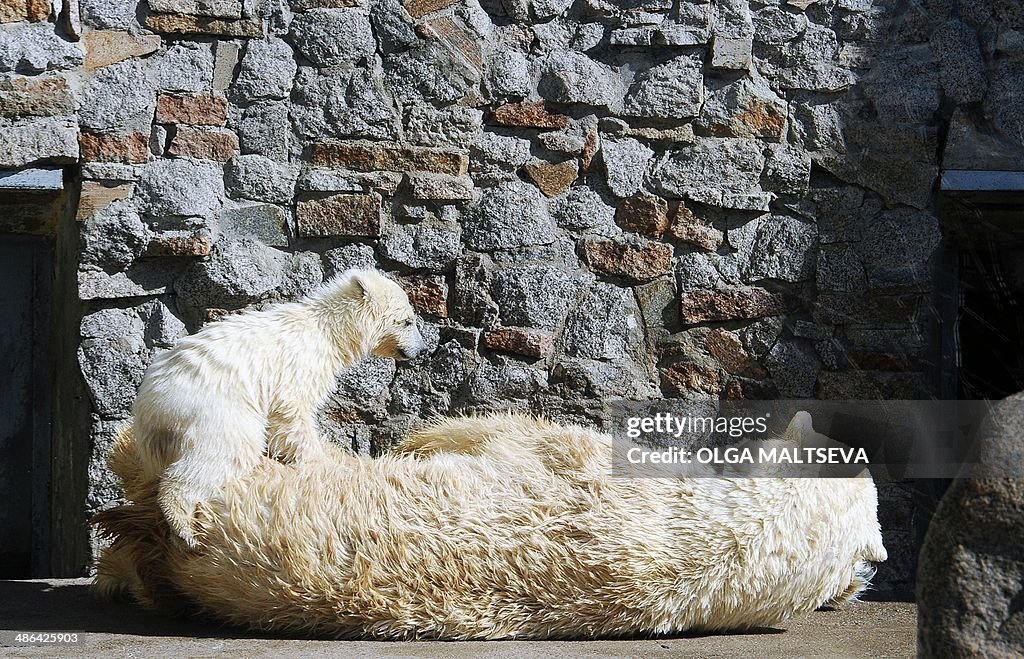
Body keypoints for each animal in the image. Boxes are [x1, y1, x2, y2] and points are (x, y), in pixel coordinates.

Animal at [133, 270, 428, 548]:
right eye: (407, 320)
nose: (422, 348)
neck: (327, 330)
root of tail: (153, 403)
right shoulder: (299, 368)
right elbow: (293, 414)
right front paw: (322, 462)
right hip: (215, 407)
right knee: (225, 451)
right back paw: (185, 528)